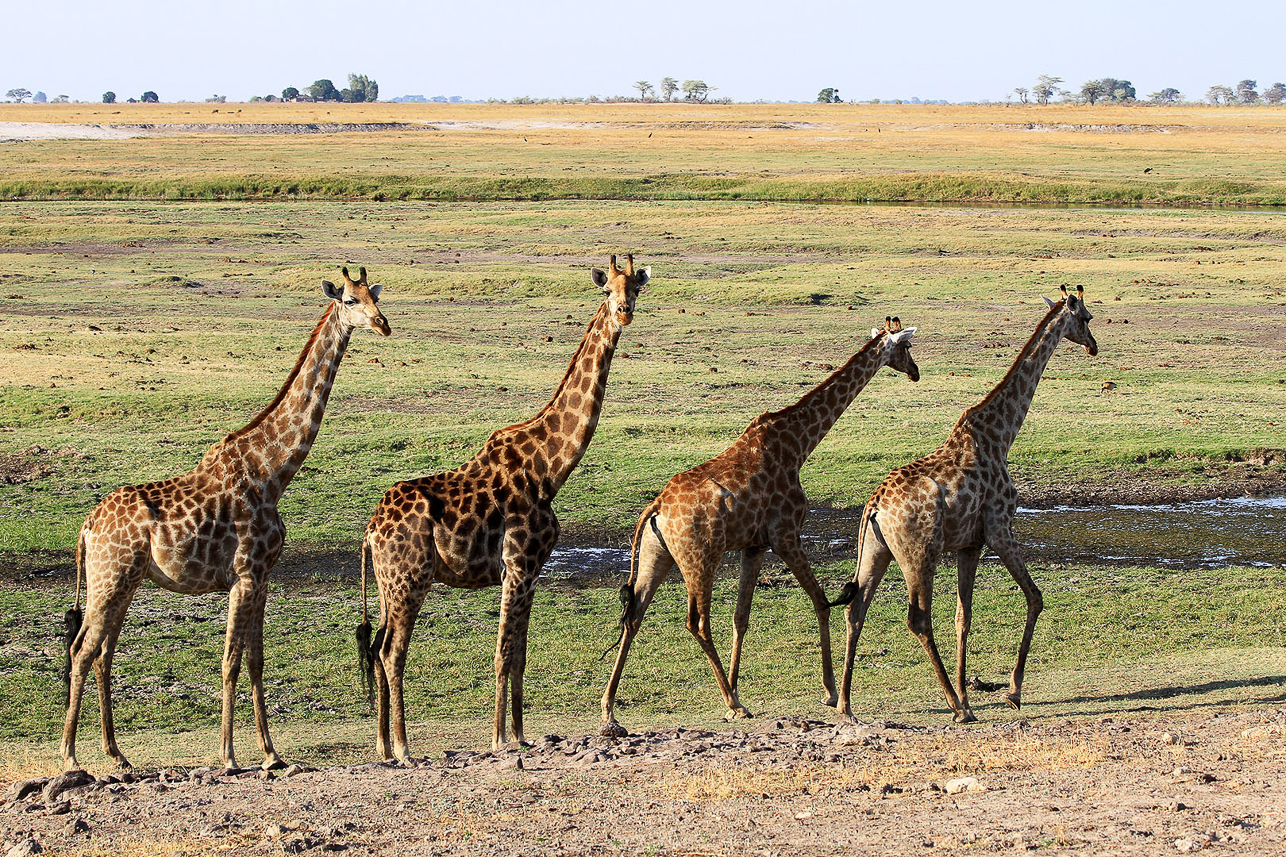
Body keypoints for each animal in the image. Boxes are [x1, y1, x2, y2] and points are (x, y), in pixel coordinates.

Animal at [60, 265, 388, 766]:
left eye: (375, 295)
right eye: (350, 300)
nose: (383, 324)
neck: (274, 471)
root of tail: (86, 527)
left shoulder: (264, 576)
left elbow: (255, 659)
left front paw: (271, 753)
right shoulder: (244, 574)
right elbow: (230, 660)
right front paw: (229, 755)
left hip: (123, 582)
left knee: (102, 653)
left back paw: (117, 754)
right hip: (109, 579)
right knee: (82, 650)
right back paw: (72, 757)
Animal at [357, 252, 648, 756]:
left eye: (635, 288)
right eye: (607, 290)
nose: (624, 313)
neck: (550, 469)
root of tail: (370, 532)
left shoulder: (533, 570)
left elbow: (521, 654)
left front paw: (521, 735)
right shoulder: (517, 565)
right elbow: (502, 653)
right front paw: (497, 740)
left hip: (387, 583)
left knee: (377, 647)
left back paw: (382, 747)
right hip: (411, 579)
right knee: (392, 652)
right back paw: (405, 748)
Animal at [596, 316, 920, 730]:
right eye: (906, 347)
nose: (915, 372)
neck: (799, 444)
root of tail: (653, 510)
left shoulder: (754, 544)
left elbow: (741, 616)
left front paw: (737, 686)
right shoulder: (786, 534)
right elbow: (820, 601)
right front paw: (829, 692)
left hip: (658, 556)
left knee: (634, 615)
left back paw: (610, 707)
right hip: (700, 558)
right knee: (696, 622)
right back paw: (734, 704)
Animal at [838, 285, 1100, 720]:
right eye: (1087, 318)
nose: (1094, 346)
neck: (1002, 435)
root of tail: (873, 507)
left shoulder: (970, 544)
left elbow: (965, 616)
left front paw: (968, 691)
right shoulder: (999, 529)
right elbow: (1035, 597)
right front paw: (1011, 691)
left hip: (876, 551)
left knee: (855, 610)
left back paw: (844, 703)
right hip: (919, 554)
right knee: (918, 619)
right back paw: (955, 708)